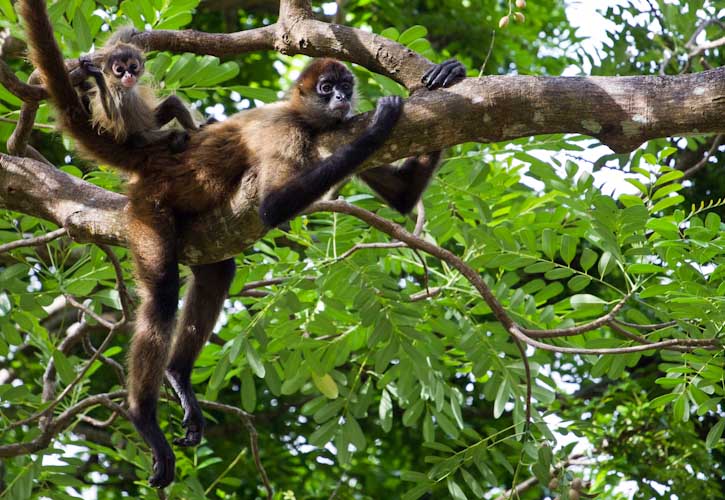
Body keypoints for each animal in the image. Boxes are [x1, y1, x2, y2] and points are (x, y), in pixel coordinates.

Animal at [19, 0, 466, 488]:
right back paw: (143, 416)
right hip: (148, 210)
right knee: (162, 295)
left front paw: (448, 73)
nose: (341, 99)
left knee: (218, 272)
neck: (305, 119)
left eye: (345, 86)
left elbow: (403, 198)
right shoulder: (285, 130)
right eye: (326, 87)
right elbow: (271, 208)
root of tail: (149, 155)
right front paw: (379, 127)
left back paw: (178, 375)